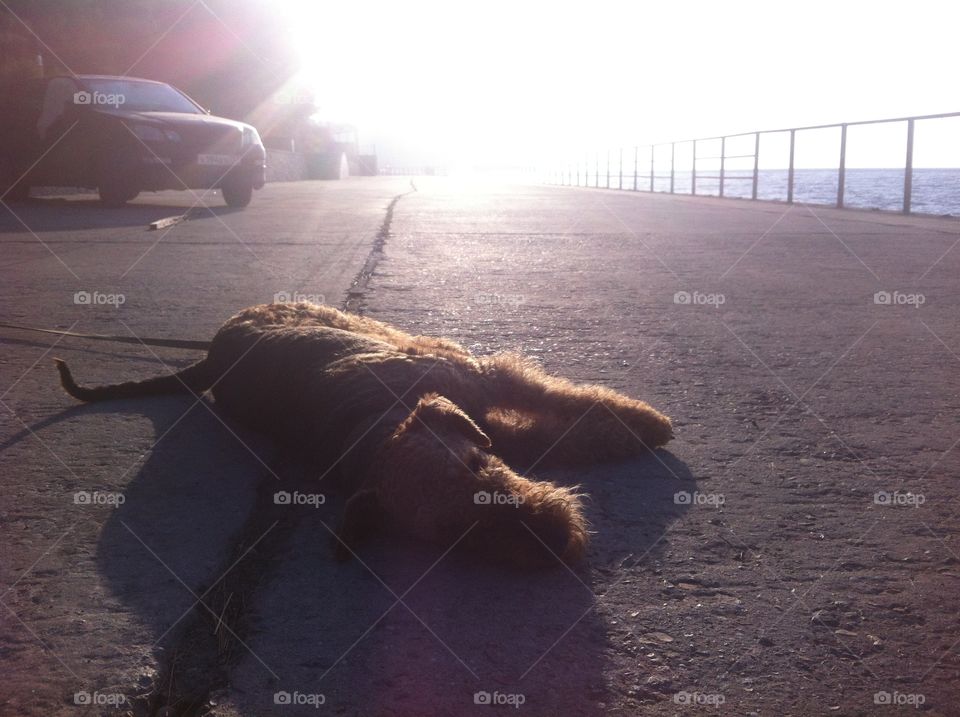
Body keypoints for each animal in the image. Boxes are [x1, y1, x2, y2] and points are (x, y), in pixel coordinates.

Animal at [56, 300, 672, 564]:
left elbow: (561, 400)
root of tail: (210, 355)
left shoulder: (482, 380)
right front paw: (632, 433)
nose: (556, 537)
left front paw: (646, 421)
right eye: (453, 532)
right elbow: (553, 434)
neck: (374, 425)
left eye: (476, 465)